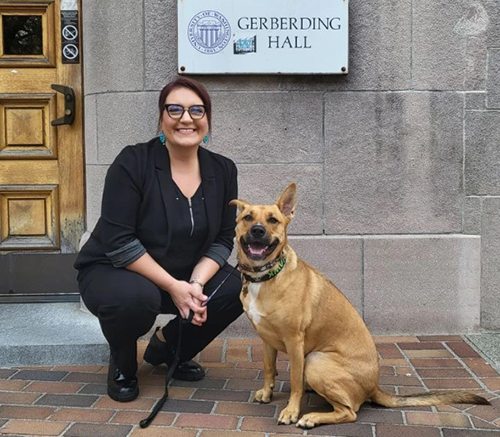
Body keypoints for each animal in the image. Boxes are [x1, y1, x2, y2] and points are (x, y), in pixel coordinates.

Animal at [229, 182, 488, 428]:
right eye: (248, 217)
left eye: (273, 220)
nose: (258, 230)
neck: (266, 276)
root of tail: (374, 386)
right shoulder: (266, 338)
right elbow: (268, 368)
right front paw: (267, 393)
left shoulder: (294, 340)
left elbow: (294, 383)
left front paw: (291, 411)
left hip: (315, 360)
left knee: (349, 412)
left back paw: (312, 417)